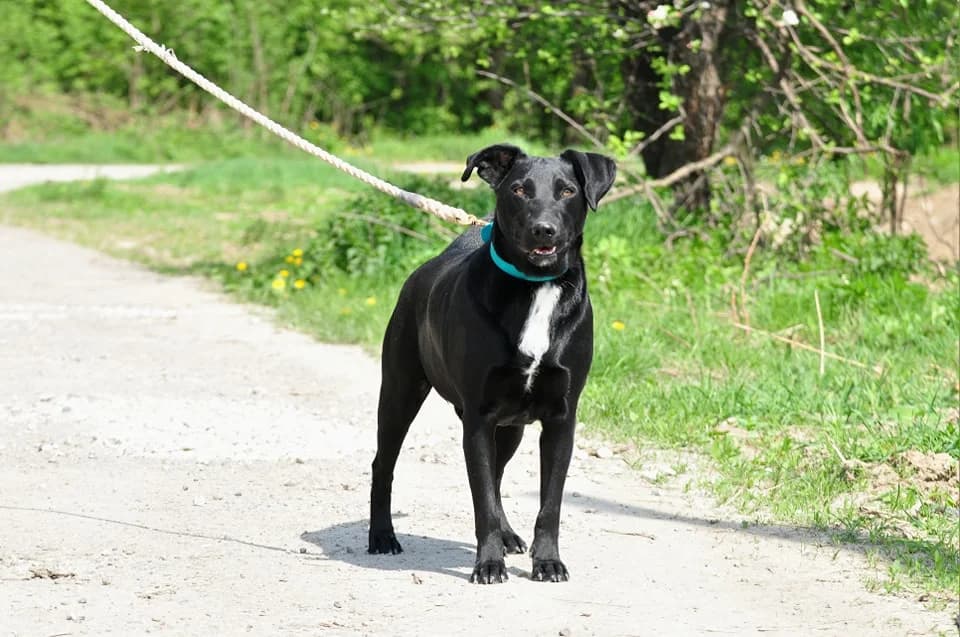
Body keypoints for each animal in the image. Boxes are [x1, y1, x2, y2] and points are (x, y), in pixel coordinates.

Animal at [368, 144, 616, 584]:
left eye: (567, 190)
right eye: (519, 190)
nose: (543, 229)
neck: (537, 287)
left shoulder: (561, 419)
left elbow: (549, 504)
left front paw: (546, 561)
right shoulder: (479, 418)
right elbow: (481, 499)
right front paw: (488, 564)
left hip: (511, 426)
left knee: (498, 475)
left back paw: (508, 535)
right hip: (400, 392)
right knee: (384, 464)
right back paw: (382, 537)